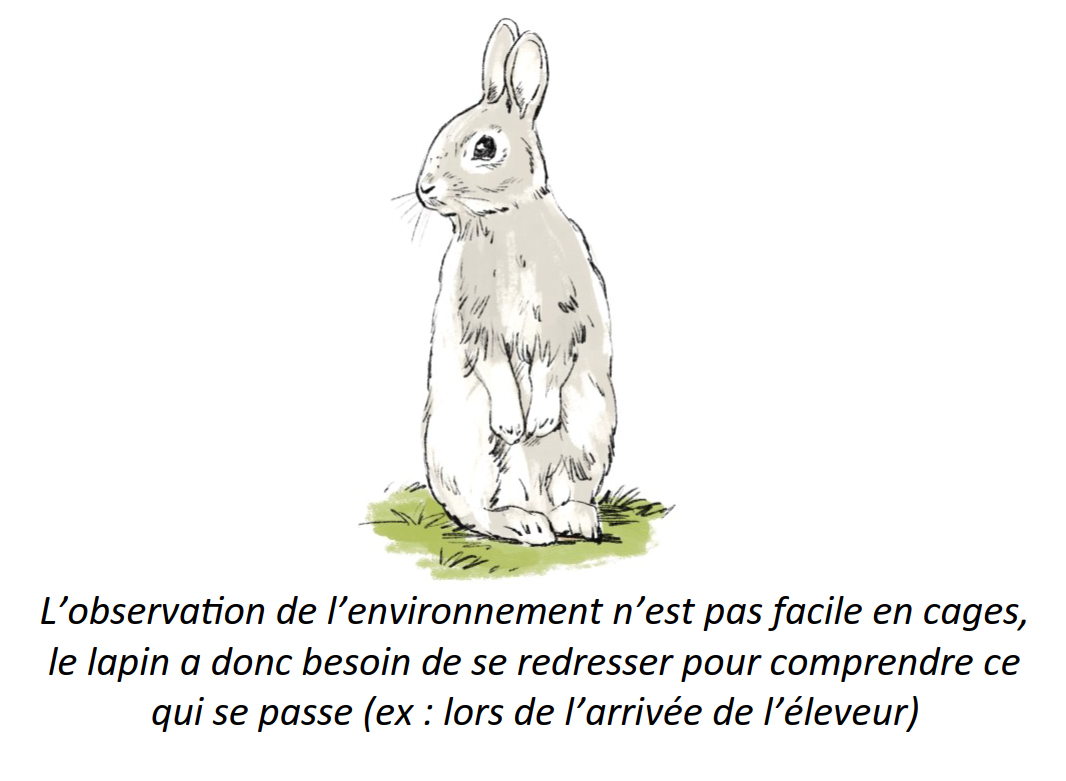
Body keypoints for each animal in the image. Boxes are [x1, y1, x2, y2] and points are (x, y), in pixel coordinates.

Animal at [417, 19, 616, 546]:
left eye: (484, 147)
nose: (425, 190)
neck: (504, 221)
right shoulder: (478, 325)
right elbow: (494, 369)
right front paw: (514, 423)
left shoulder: (563, 318)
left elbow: (552, 364)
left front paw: (538, 419)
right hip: (471, 456)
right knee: (478, 512)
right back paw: (525, 524)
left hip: (586, 437)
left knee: (566, 491)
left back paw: (574, 521)